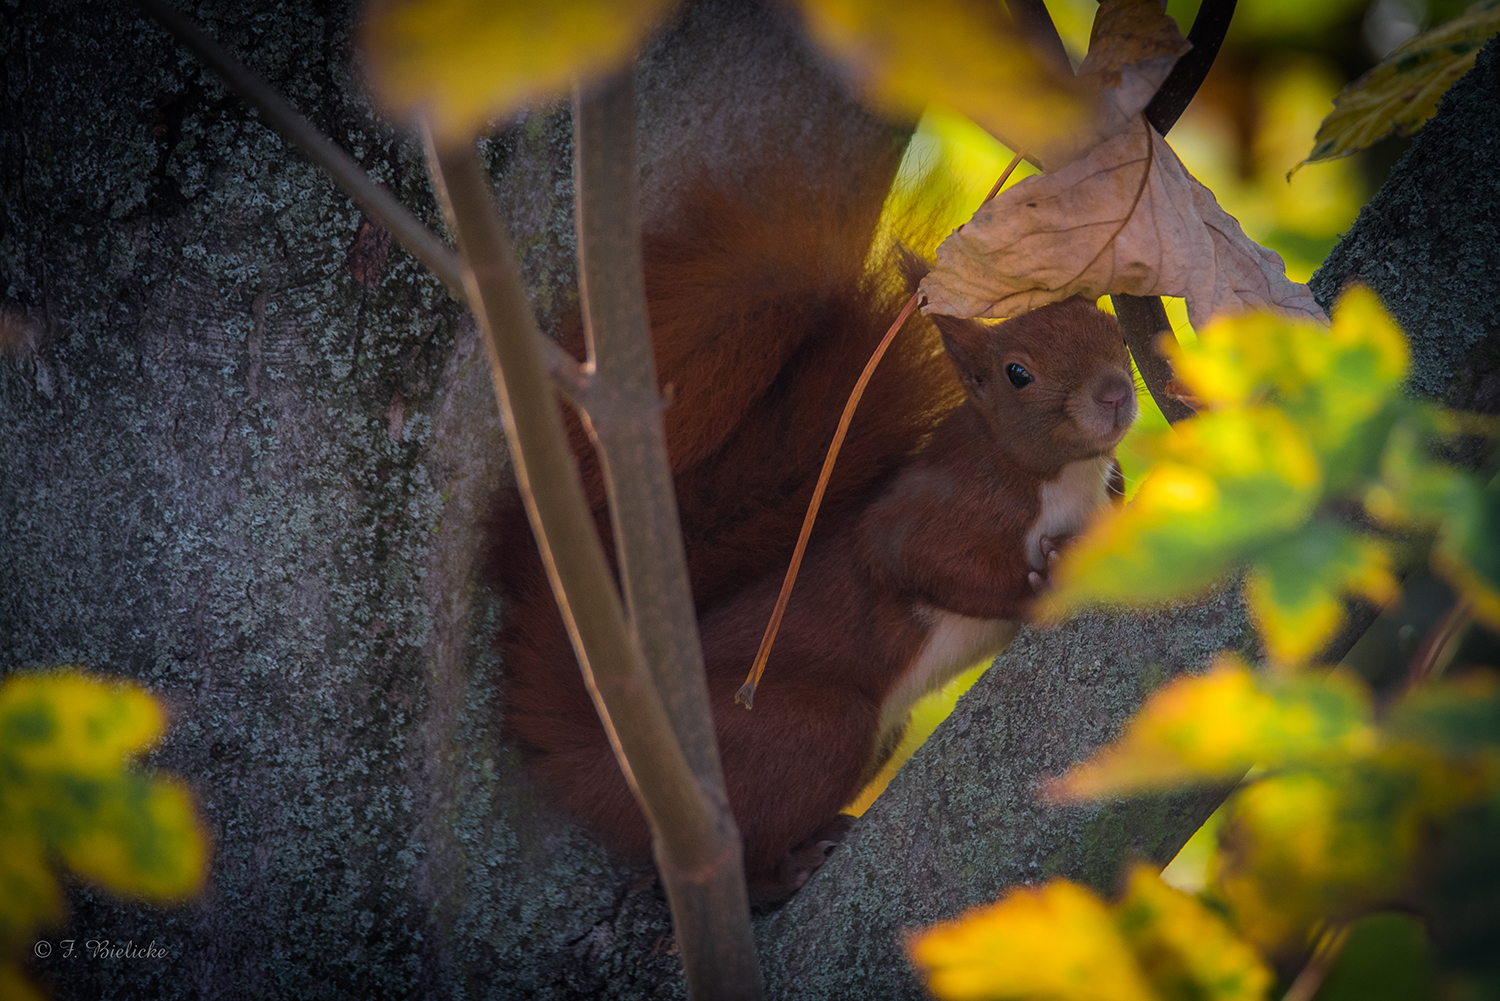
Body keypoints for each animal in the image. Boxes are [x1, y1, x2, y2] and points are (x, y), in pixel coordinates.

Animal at [486, 153, 1128, 906]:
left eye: (1110, 324)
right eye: (1017, 372)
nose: (1116, 391)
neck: (1063, 478)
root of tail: (599, 752)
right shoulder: (944, 506)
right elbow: (913, 557)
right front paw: (1041, 583)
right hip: (806, 731)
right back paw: (789, 866)